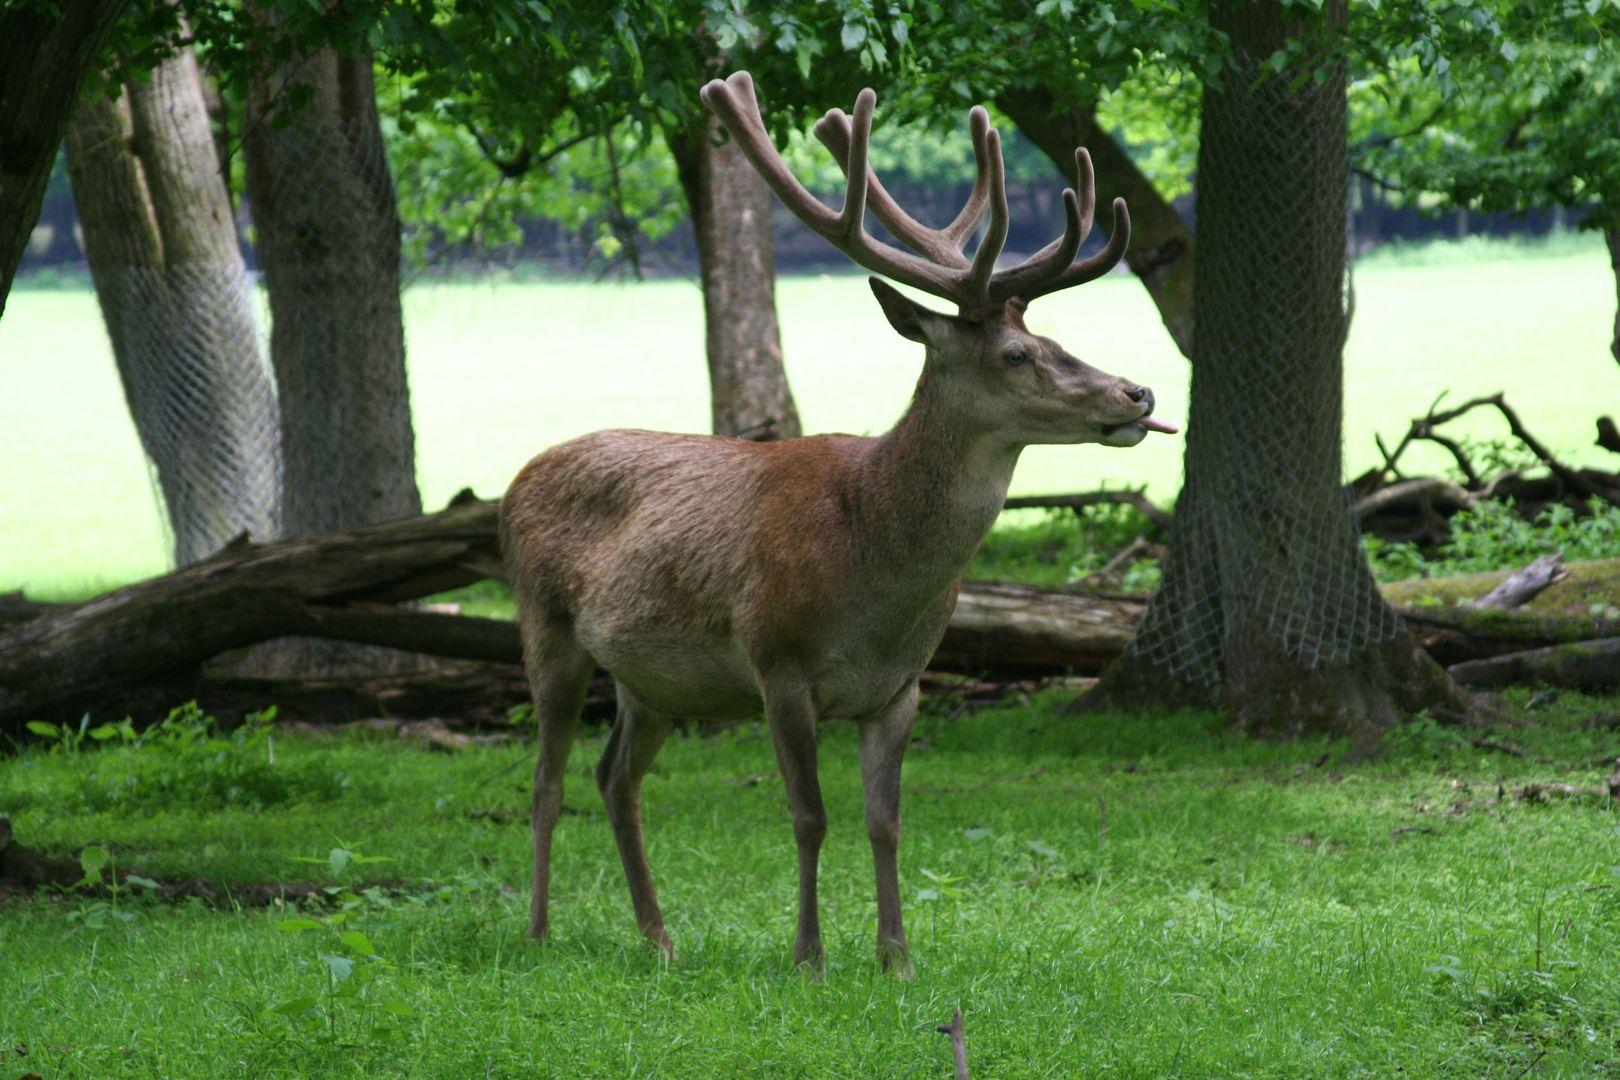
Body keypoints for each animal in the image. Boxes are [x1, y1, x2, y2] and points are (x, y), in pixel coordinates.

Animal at [498, 71, 1172, 977]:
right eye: (1017, 355)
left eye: (1051, 335)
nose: (1138, 393)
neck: (872, 577)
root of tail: (513, 483)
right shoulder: (776, 657)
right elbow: (809, 816)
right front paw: (809, 956)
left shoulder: (902, 686)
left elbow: (885, 822)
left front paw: (897, 957)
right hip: (546, 628)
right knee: (547, 782)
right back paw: (538, 932)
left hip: (652, 680)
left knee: (616, 778)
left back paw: (659, 936)